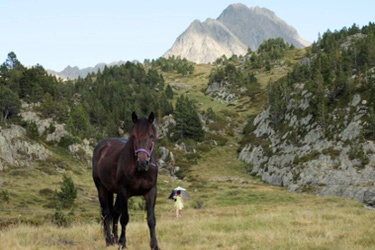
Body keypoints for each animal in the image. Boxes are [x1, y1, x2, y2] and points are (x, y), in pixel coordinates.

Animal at [94, 112, 160, 249]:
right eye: (134, 136)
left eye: (151, 136)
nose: (142, 163)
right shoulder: (124, 192)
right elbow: (124, 218)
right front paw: (123, 243)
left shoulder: (151, 192)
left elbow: (151, 220)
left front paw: (155, 245)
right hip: (102, 188)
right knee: (106, 213)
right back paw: (109, 241)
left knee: (114, 213)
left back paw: (115, 239)